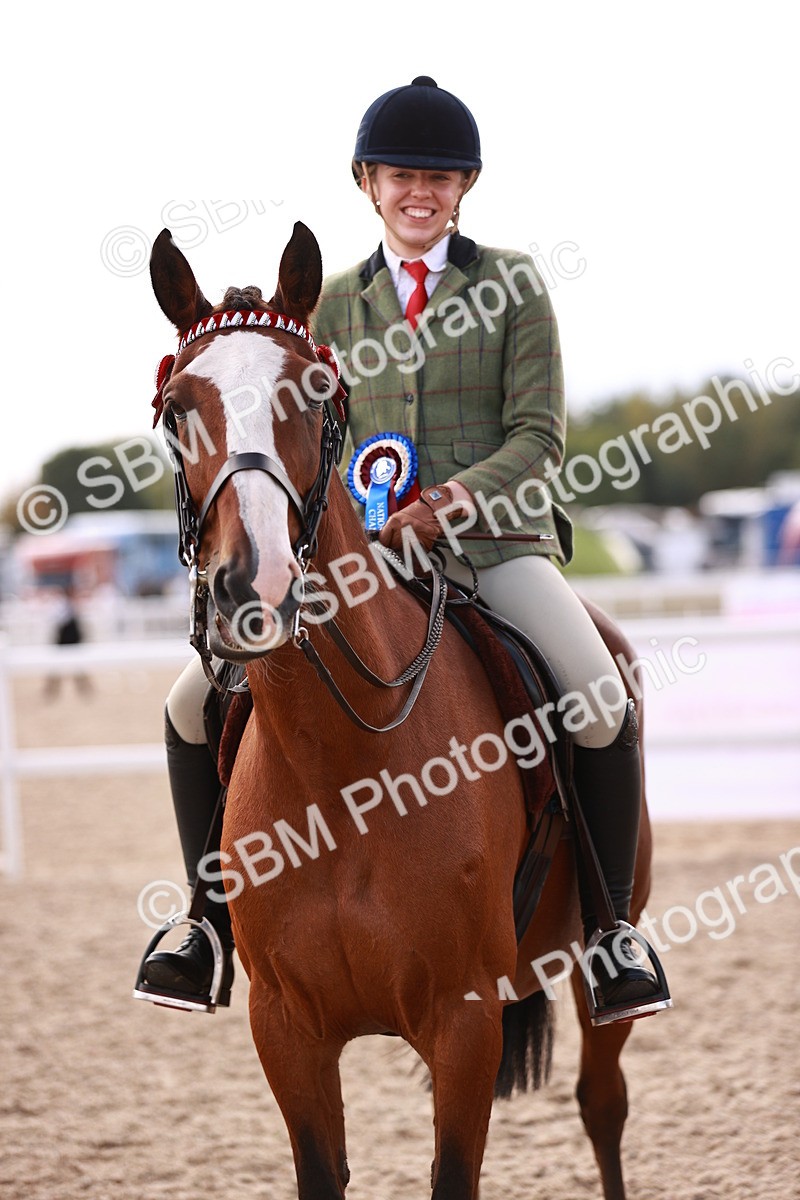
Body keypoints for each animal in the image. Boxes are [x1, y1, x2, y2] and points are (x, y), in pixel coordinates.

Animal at [148, 220, 660, 1200]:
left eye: (317, 396)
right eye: (176, 409)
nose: (253, 588)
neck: (342, 770)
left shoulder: (462, 1025)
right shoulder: (287, 1030)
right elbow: (322, 1171)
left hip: (594, 952)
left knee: (605, 1102)